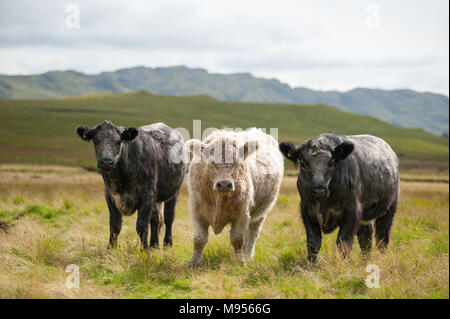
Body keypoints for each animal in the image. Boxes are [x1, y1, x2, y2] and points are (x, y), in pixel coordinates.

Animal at [76, 120, 185, 250]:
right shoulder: (110, 196)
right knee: (155, 220)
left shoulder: (147, 197)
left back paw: (167, 243)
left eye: (119, 141)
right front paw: (111, 248)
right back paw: (154, 245)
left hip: (173, 192)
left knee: (168, 218)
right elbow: (115, 225)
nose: (106, 161)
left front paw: (144, 250)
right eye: (96, 141)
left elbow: (141, 226)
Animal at [280, 132, 400, 262]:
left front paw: (343, 265)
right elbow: (313, 243)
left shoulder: (351, 210)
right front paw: (311, 265)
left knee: (382, 237)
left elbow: (344, 243)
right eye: (303, 164)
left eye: (331, 163)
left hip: (389, 209)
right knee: (366, 240)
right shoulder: (306, 210)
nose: (319, 190)